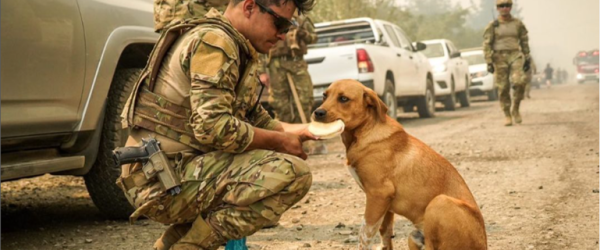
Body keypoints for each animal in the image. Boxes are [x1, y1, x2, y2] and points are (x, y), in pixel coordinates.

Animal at [314, 79, 488, 249]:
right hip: (413, 236)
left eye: (344, 99)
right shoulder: (385, 203)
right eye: (324, 95)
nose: (317, 113)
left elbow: (365, 234)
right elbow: (384, 233)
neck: (364, 132)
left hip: (440, 202)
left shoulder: (378, 194)